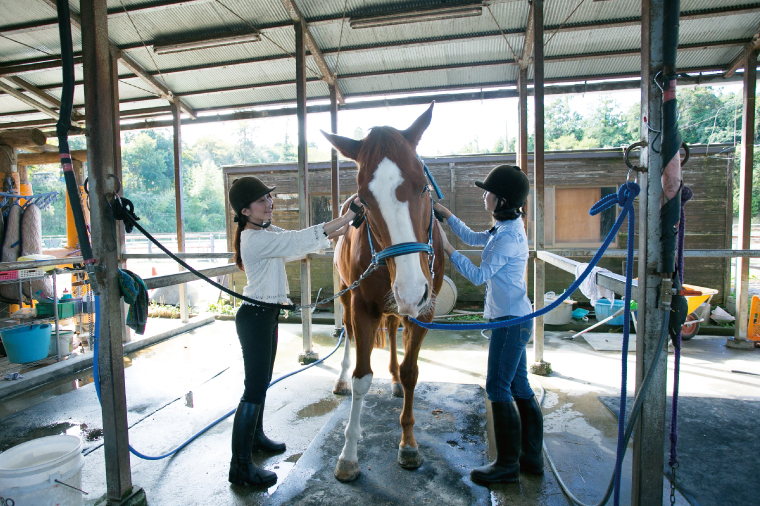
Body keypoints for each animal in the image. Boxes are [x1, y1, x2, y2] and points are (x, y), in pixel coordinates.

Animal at [322, 103, 446, 482]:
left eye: (423, 187)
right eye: (364, 200)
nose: (410, 288)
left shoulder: (424, 310)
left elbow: (411, 372)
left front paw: (408, 444)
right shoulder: (363, 306)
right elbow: (362, 379)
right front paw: (348, 454)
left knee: (392, 330)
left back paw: (392, 380)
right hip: (348, 294)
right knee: (349, 336)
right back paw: (340, 379)